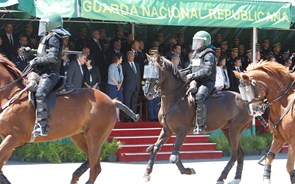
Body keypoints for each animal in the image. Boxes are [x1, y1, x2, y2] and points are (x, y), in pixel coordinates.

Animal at [0, 55, 139, 184]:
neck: (11, 95)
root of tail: (112, 101)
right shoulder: (8, 139)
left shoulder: (14, 137)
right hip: (79, 136)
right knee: (91, 161)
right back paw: (76, 175)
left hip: (95, 138)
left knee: (95, 168)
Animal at [143, 56, 252, 184]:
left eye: (156, 71)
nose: (147, 93)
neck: (175, 98)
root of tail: (246, 101)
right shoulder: (167, 130)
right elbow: (156, 148)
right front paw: (147, 173)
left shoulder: (182, 131)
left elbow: (174, 156)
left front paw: (188, 170)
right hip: (227, 130)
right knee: (240, 153)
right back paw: (236, 178)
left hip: (235, 129)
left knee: (235, 153)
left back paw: (221, 177)